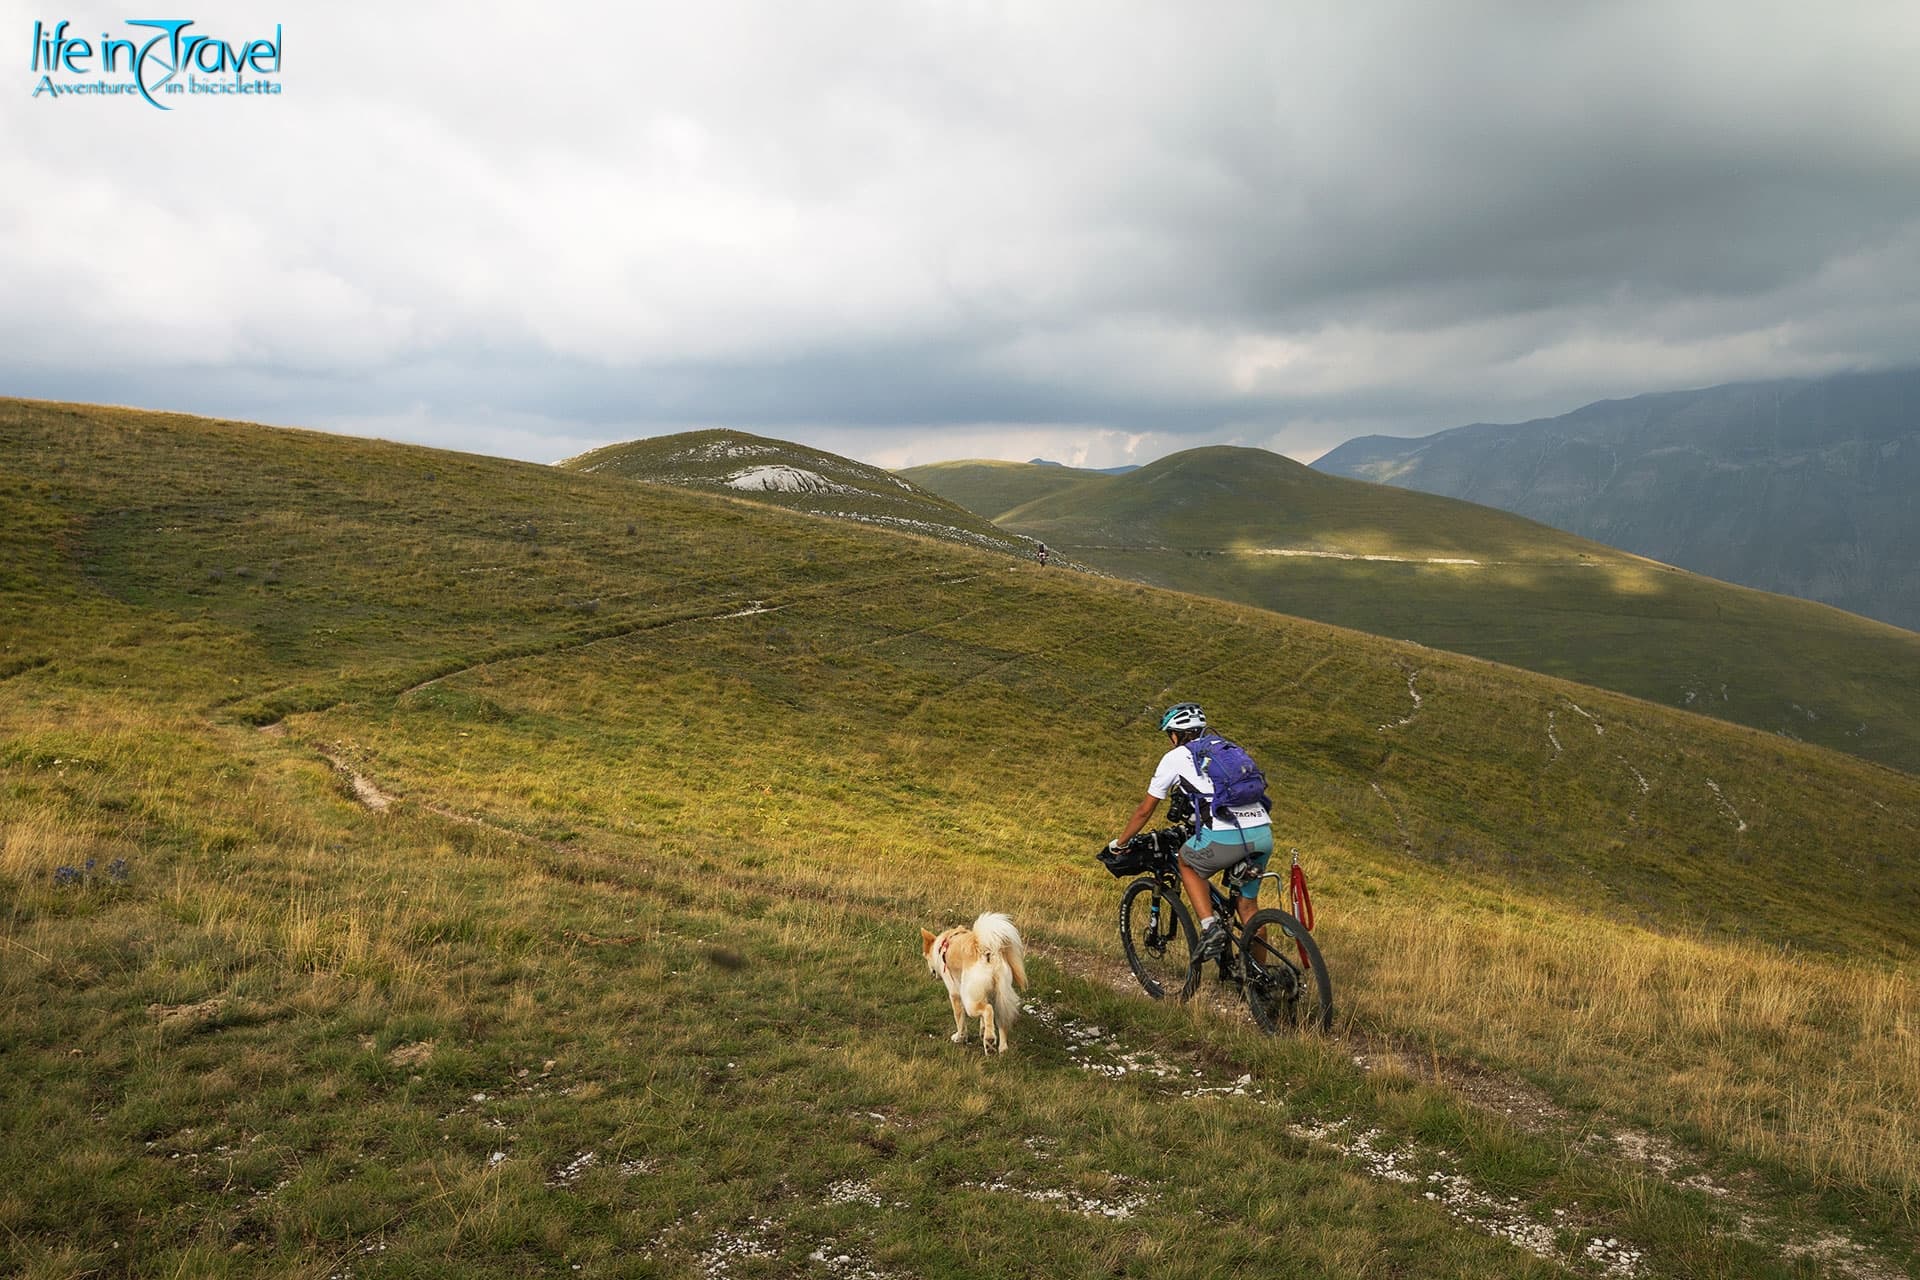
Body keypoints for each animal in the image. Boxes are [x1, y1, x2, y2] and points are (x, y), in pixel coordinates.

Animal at [921, 909, 1029, 1051]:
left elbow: (960, 1020)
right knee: (1001, 1020)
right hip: (1001, 995)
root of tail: (987, 950)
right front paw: (982, 1030)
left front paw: (960, 1038)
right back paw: (1002, 1048)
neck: (942, 946)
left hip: (969, 1001)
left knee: (988, 1009)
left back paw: (989, 1041)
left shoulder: (955, 994)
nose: (931, 973)